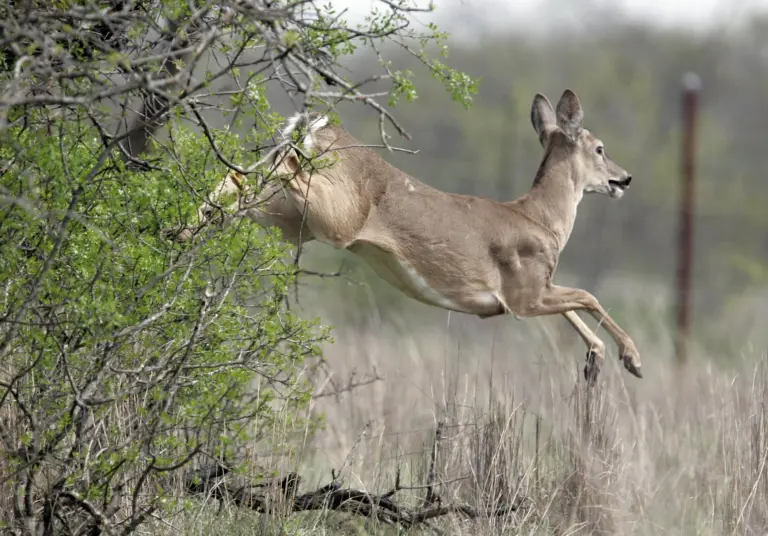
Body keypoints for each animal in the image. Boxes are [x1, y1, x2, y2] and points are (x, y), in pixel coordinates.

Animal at [191, 89, 641, 383]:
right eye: (600, 148)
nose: (625, 179)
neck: (542, 219)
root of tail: (318, 129)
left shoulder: (533, 289)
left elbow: (575, 306)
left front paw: (596, 360)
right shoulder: (521, 293)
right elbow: (588, 296)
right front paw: (631, 359)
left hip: (290, 223)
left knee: (243, 177)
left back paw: (190, 226)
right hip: (335, 216)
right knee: (274, 169)